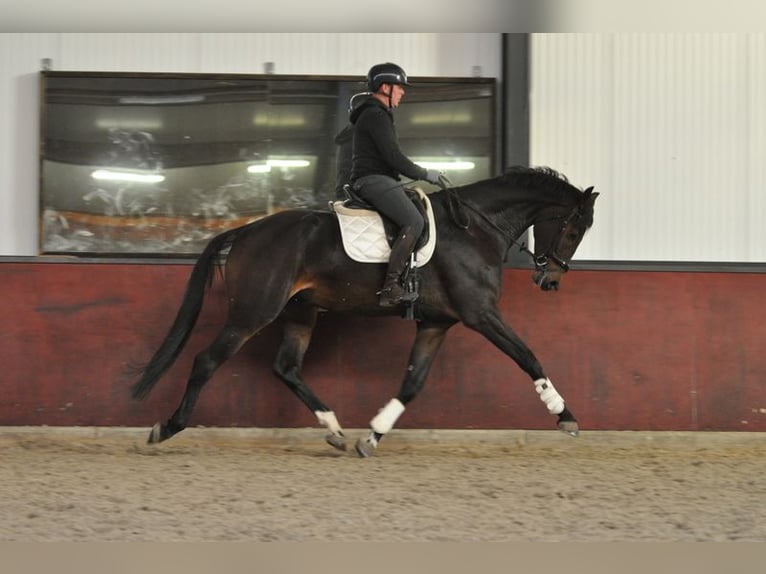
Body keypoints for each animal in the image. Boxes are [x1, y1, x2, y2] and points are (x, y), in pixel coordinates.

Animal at [130, 166, 600, 460]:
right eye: (574, 228)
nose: (551, 280)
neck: (475, 229)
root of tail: (245, 231)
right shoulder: (481, 314)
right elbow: (528, 356)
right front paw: (566, 417)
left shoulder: (436, 323)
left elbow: (412, 384)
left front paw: (371, 438)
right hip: (253, 312)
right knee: (207, 360)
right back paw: (167, 427)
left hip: (300, 313)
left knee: (286, 368)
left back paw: (336, 432)